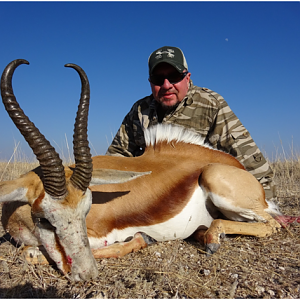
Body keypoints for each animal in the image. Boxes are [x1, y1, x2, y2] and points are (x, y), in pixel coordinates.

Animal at [0, 59, 292, 282]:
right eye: (45, 218)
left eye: (86, 211)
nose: (87, 274)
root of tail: (236, 167)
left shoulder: (101, 237)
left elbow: (30, 253)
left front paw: (141, 239)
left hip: (219, 184)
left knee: (272, 224)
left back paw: (211, 238)